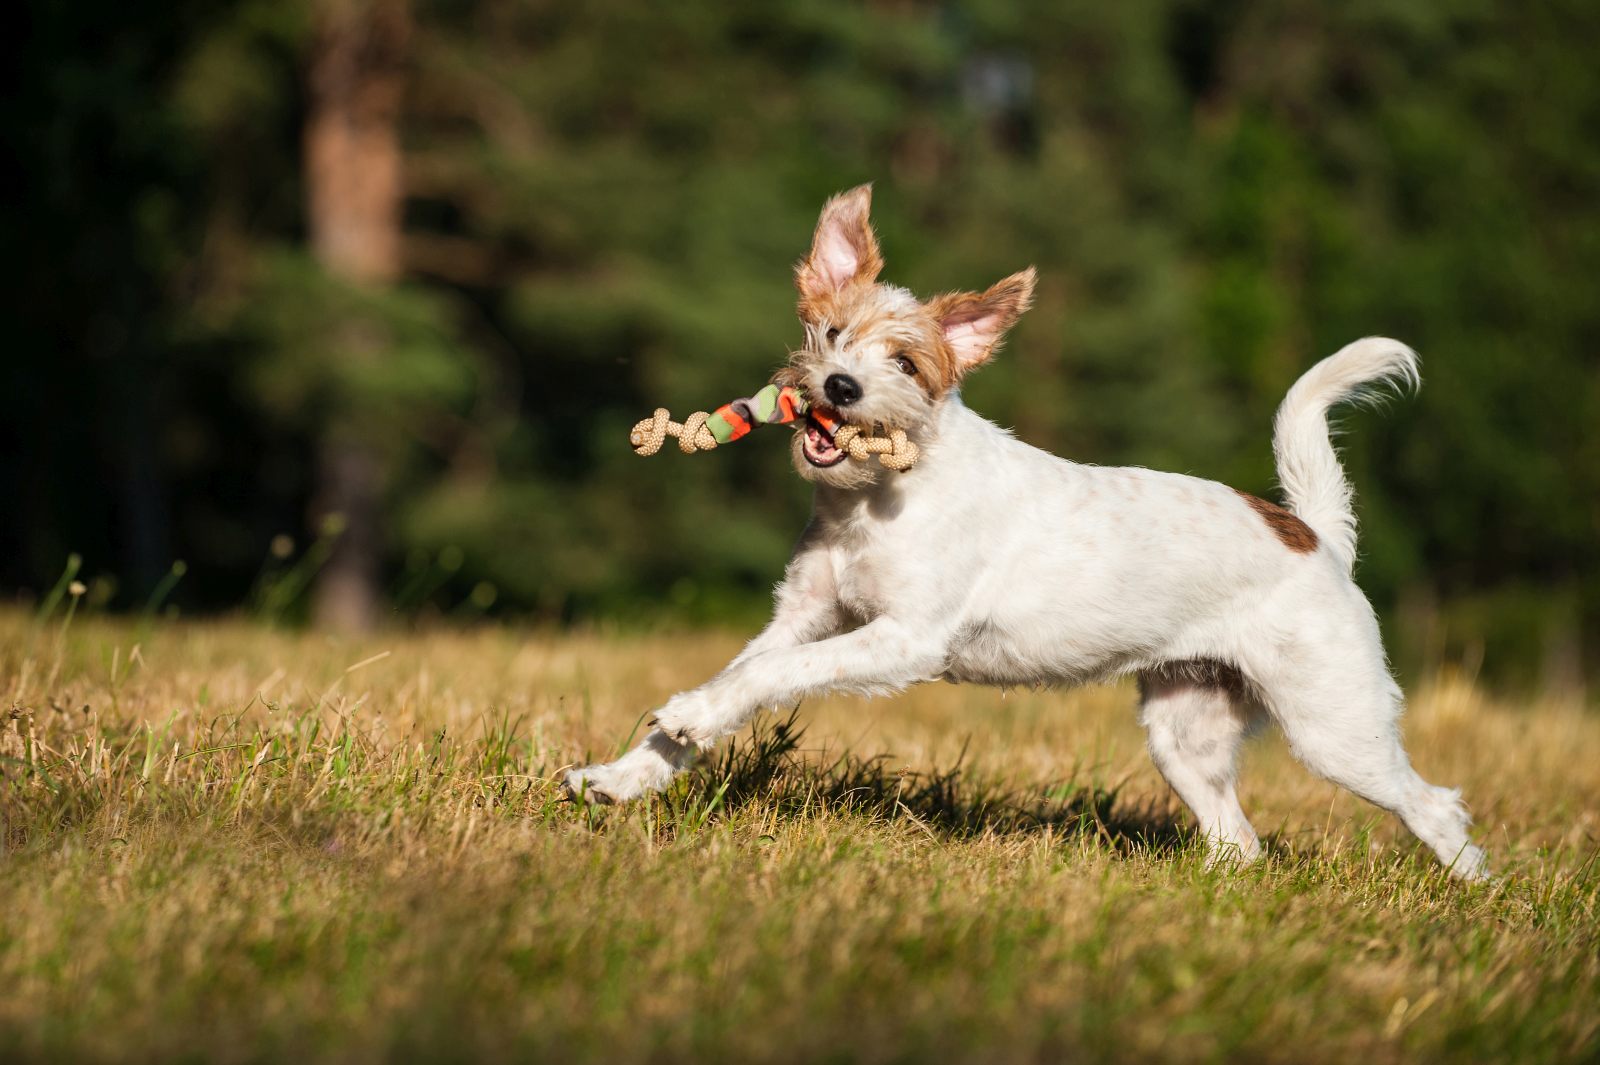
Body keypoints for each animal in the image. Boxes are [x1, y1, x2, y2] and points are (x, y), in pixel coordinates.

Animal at [566, 184, 1484, 876]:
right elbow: (741, 676)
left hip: (1334, 722)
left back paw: (1475, 899)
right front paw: (625, 773)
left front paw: (685, 718)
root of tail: (1313, 535)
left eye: (907, 364)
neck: (876, 497)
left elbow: (773, 674)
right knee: (1239, 839)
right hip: (1186, 729)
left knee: (1435, 806)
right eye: (830, 332)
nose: (839, 387)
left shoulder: (902, 638)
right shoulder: (803, 614)